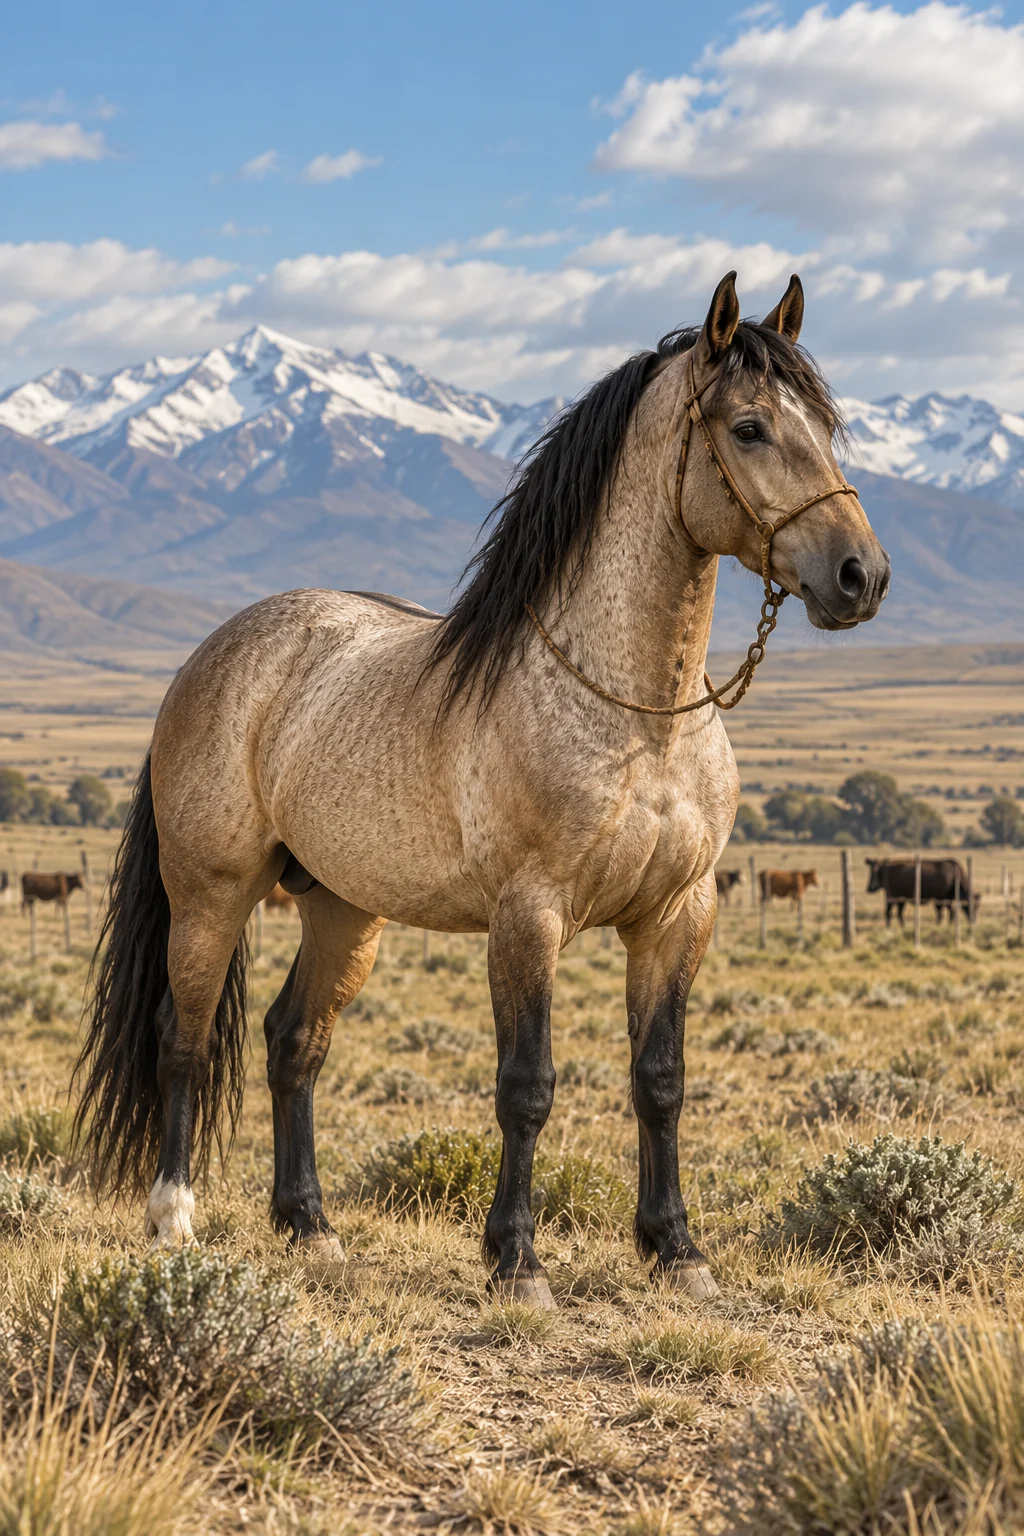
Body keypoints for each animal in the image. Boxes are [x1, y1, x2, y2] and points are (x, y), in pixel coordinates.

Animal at [73, 272, 889, 1305]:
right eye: (748, 428)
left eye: (826, 425)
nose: (862, 576)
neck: (643, 718)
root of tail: (213, 656)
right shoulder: (528, 917)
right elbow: (526, 1086)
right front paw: (517, 1260)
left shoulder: (678, 915)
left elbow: (660, 1078)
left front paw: (676, 1249)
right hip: (210, 895)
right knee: (180, 1039)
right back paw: (174, 1221)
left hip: (343, 909)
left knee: (294, 1041)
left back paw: (310, 1227)